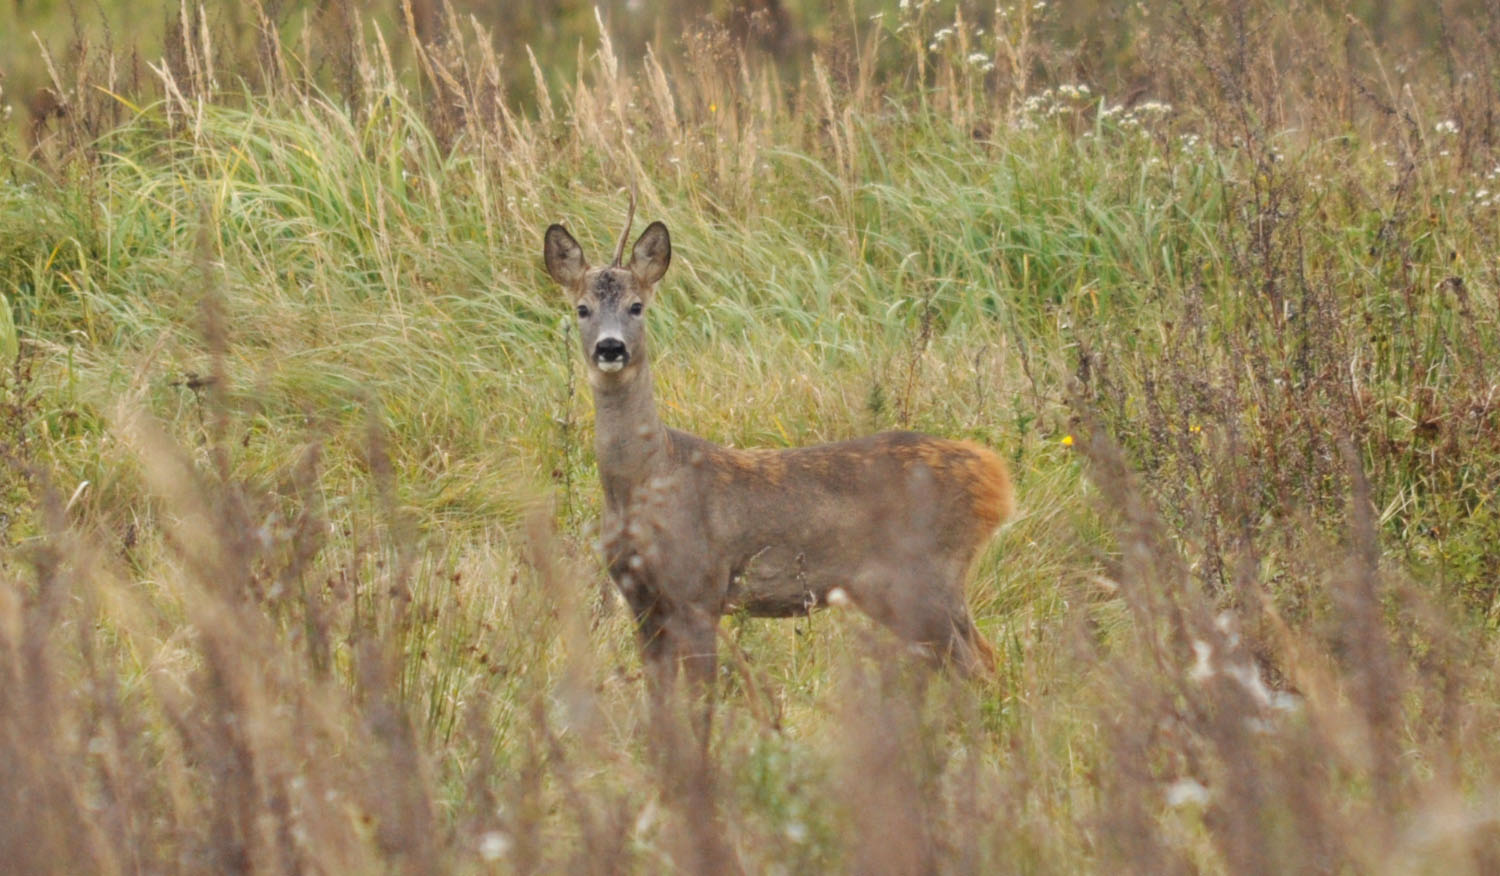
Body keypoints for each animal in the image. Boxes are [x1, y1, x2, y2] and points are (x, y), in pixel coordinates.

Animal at [546, 202, 1014, 696]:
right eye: (582, 308)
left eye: (637, 306)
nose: (610, 347)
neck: (645, 480)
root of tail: (995, 477)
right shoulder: (640, 599)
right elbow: (659, 697)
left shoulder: (700, 586)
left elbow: (701, 694)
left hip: (927, 578)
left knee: (981, 663)